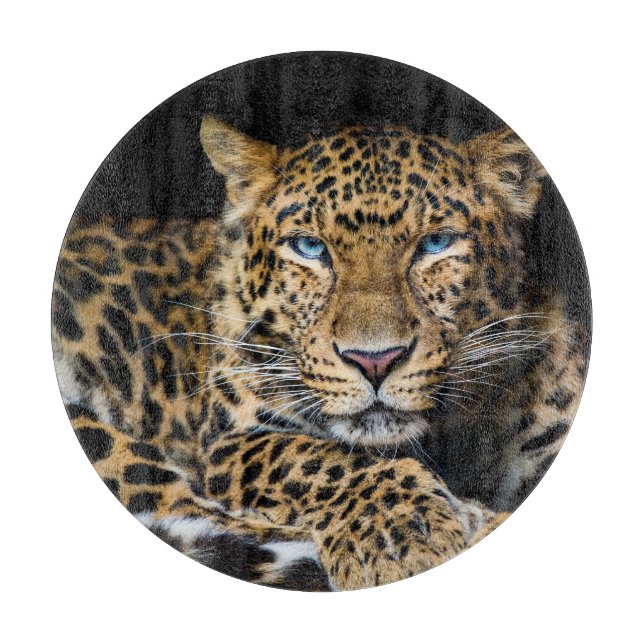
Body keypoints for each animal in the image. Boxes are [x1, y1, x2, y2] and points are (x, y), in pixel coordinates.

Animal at [52, 115, 588, 591]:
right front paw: (401, 535)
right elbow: (318, 460)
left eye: (436, 243)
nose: (375, 360)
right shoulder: (234, 439)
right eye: (309, 248)